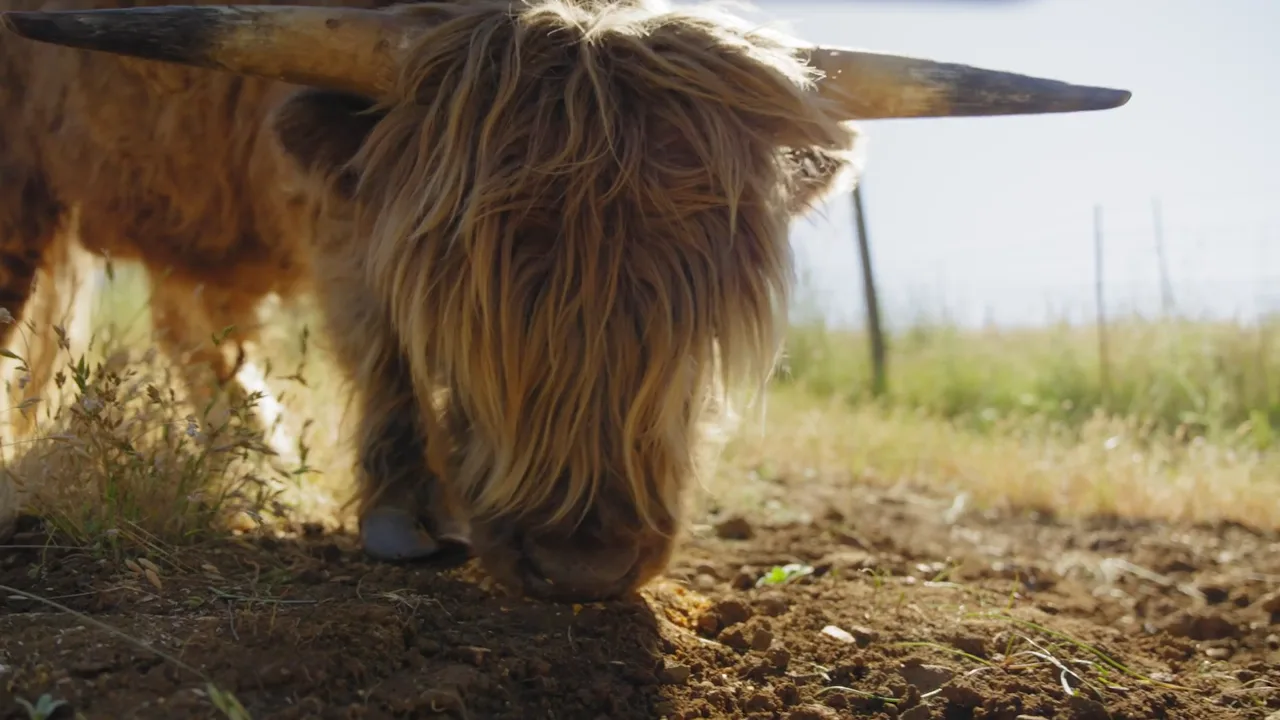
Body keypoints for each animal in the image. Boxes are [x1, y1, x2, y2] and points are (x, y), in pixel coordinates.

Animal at [0, 0, 1129, 601]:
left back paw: (254, 452)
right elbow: (379, 338)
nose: (581, 560)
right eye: (461, 301)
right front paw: (403, 510)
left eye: (700, 319)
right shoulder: (344, 197)